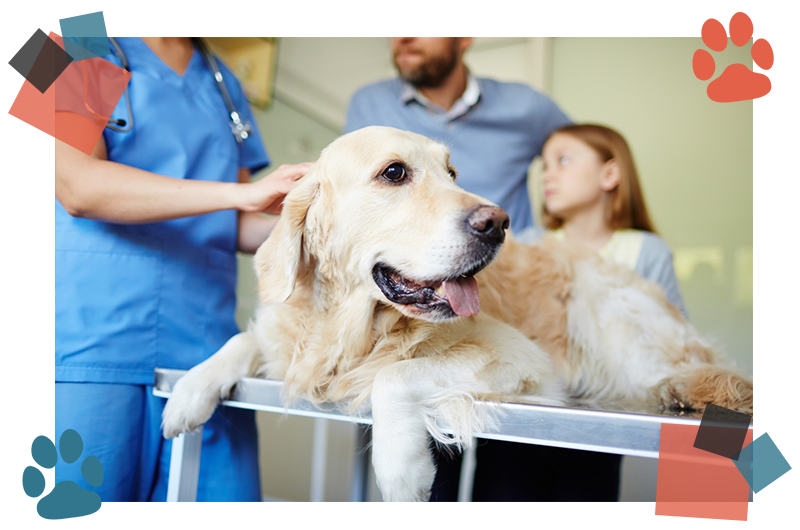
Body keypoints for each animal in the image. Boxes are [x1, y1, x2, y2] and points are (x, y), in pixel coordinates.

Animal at [161, 124, 752, 500]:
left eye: (452, 172)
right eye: (394, 172)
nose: (498, 222)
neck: (357, 328)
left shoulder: (523, 359)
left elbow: (395, 376)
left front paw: (401, 471)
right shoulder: (292, 341)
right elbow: (243, 340)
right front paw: (189, 390)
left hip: (600, 300)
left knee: (691, 368)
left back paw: (680, 388)